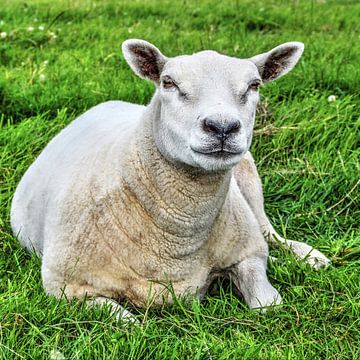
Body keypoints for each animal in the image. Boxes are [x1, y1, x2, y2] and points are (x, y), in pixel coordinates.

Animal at [9, 38, 330, 320]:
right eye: (169, 82)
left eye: (254, 85)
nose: (222, 127)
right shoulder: (65, 289)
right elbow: (126, 322)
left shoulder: (248, 252)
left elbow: (269, 305)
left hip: (250, 177)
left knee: (269, 232)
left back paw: (310, 257)